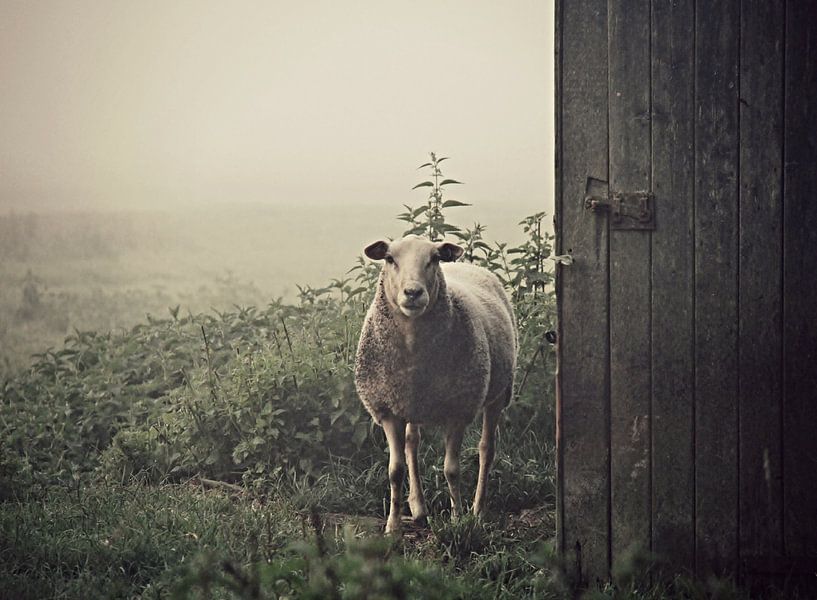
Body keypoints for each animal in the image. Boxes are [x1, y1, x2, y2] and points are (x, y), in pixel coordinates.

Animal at [352, 232, 516, 532]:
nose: (413, 293)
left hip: (499, 394)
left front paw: (457, 519)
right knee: (412, 443)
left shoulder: (458, 411)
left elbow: (451, 469)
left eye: (434, 258)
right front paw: (392, 527)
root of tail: (468, 266)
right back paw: (419, 509)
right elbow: (395, 471)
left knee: (486, 450)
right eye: (390, 259)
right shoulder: (389, 410)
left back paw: (478, 510)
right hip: (412, 403)